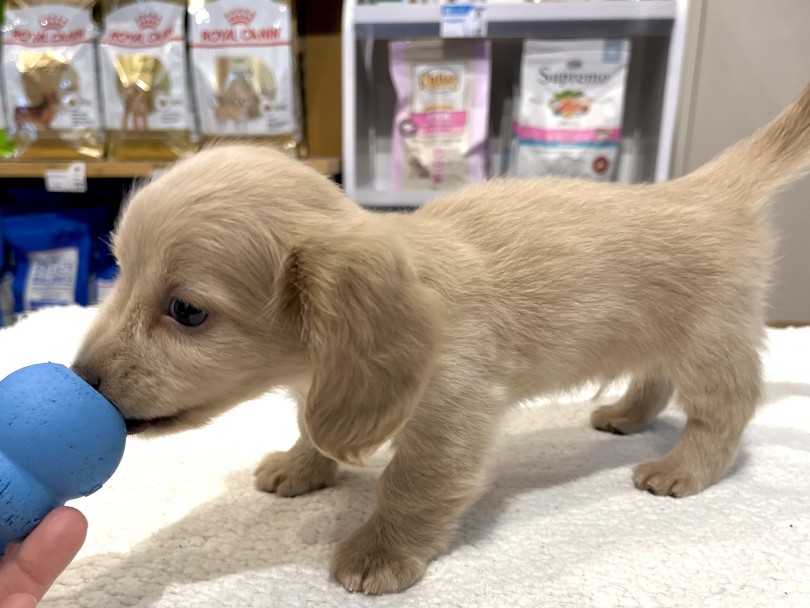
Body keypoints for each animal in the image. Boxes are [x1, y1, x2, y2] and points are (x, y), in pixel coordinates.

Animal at [72, 82, 808, 592]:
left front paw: (379, 553)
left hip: (709, 343)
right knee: (652, 376)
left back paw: (683, 467)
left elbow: (412, 485)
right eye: (119, 271)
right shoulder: (333, 387)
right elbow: (316, 425)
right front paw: (302, 466)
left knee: (726, 408)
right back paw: (626, 414)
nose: (80, 380)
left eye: (186, 311)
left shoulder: (455, 415)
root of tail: (707, 188)